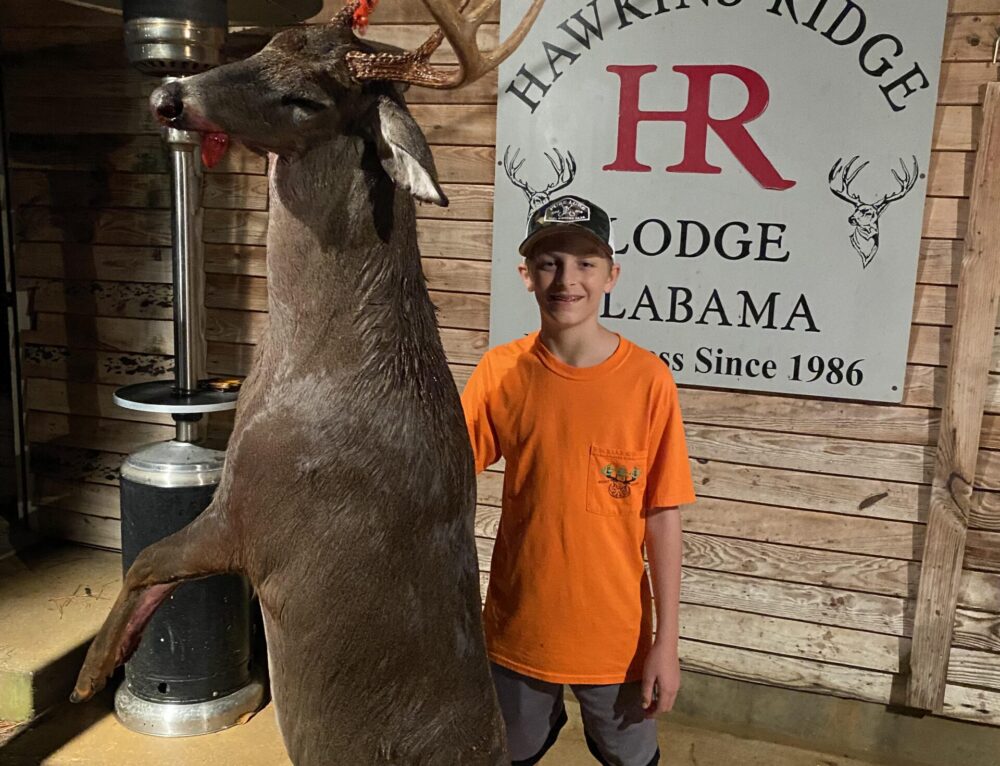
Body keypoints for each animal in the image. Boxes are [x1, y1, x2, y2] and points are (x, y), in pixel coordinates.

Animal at [69, 2, 544, 764]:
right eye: (264, 45)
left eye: (307, 100)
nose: (170, 96)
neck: (310, 366)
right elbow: (152, 570)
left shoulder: (253, 517)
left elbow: (146, 558)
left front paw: (90, 675)